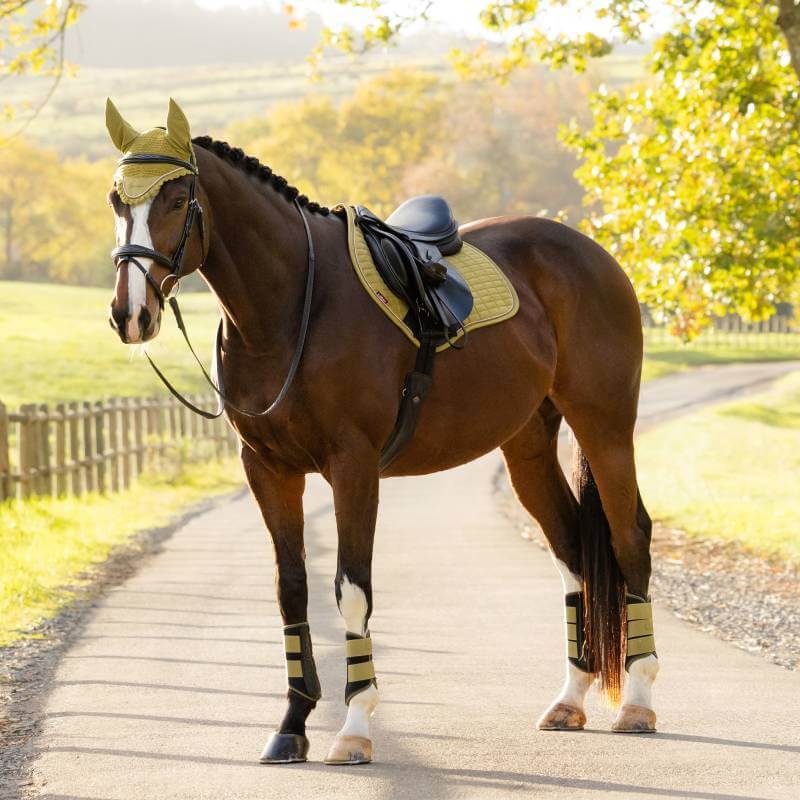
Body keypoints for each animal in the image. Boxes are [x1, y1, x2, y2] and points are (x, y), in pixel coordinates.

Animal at [106, 99, 658, 766]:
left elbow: (351, 589)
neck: (294, 306)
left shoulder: (353, 466)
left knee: (629, 538)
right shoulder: (267, 468)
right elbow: (292, 588)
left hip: (605, 424)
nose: (130, 314)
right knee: (573, 551)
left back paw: (638, 702)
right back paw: (570, 699)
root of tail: (592, 253)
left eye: (175, 196)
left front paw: (354, 727)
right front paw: (292, 724)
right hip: (526, 443)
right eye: (116, 199)